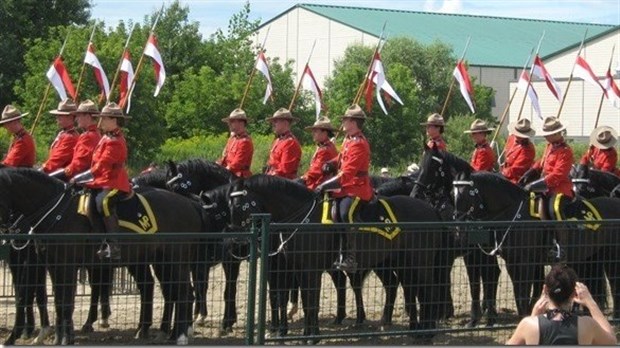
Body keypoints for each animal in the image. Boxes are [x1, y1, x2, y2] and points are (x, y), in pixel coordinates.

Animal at [0, 167, 207, 344]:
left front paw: (64, 337)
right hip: (159, 261)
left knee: (184, 292)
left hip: (175, 259)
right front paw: (59, 337)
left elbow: (61, 301)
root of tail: (189, 204)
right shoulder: (51, 264)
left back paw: (180, 336)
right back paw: (163, 332)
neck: (56, 211)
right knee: (169, 291)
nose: (8, 230)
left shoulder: (63, 265)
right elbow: (57, 300)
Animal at [206, 175, 448, 342]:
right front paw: (305, 333)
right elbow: (303, 300)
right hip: (402, 262)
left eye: (240, 205)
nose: (234, 241)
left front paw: (310, 335)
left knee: (428, 290)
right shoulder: (295, 268)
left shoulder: (308, 269)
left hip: (419, 261)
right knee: (410, 288)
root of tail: (430, 208)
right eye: (227, 206)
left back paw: (426, 332)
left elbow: (309, 301)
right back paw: (415, 329)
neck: (302, 217)